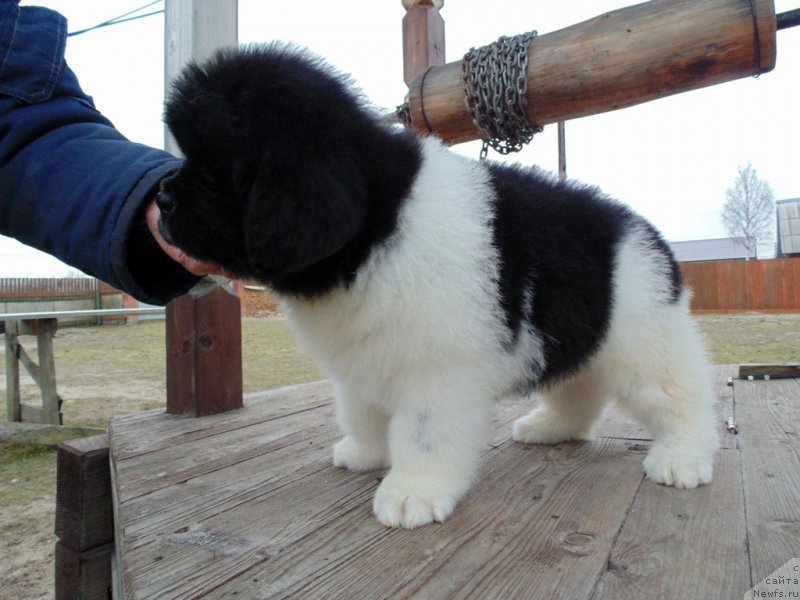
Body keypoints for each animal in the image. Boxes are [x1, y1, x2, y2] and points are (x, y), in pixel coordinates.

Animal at [156, 43, 720, 528]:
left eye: (214, 167)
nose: (160, 198)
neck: (379, 223)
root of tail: (647, 232)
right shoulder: (361, 361)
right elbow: (360, 413)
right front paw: (363, 453)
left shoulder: (439, 370)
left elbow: (423, 434)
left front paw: (413, 493)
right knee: (579, 388)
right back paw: (548, 428)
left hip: (646, 343)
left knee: (681, 398)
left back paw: (682, 458)